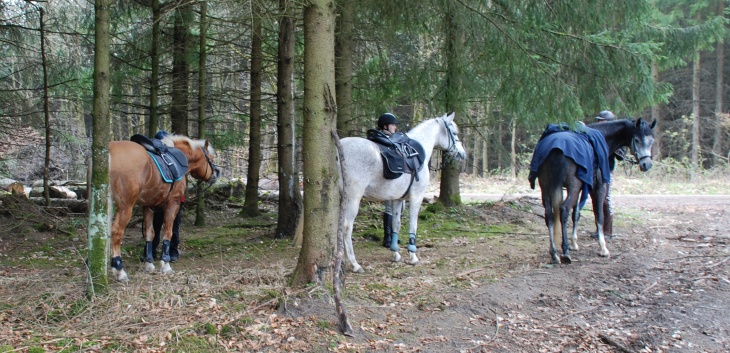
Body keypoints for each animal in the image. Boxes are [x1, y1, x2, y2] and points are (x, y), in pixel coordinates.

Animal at [106, 135, 218, 280]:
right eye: (211, 158)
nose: (216, 174)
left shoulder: (148, 206)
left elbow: (150, 233)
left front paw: (149, 263)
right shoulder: (173, 203)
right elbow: (168, 232)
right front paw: (165, 264)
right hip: (126, 206)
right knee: (117, 232)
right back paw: (119, 269)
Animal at [336, 111, 464, 270]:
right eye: (454, 133)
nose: (462, 154)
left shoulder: (397, 199)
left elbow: (395, 224)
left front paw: (396, 254)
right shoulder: (417, 197)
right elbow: (413, 225)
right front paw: (413, 256)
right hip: (353, 198)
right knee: (347, 226)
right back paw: (354, 263)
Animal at [524, 119, 656, 264]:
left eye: (652, 141)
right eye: (637, 140)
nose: (647, 164)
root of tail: (555, 148)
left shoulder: (578, 189)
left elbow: (576, 214)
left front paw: (574, 243)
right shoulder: (598, 187)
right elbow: (599, 216)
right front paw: (603, 248)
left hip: (547, 187)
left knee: (549, 216)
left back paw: (554, 253)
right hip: (572, 187)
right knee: (564, 210)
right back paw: (565, 251)